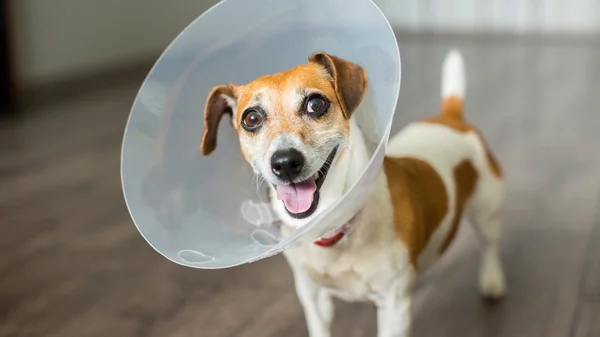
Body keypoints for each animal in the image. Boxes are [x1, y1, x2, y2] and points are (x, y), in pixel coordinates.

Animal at [199, 48, 504, 336]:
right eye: (251, 118)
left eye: (316, 104)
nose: (285, 162)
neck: (333, 229)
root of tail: (449, 118)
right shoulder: (313, 297)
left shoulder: (393, 306)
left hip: (487, 210)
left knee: (491, 244)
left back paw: (493, 280)